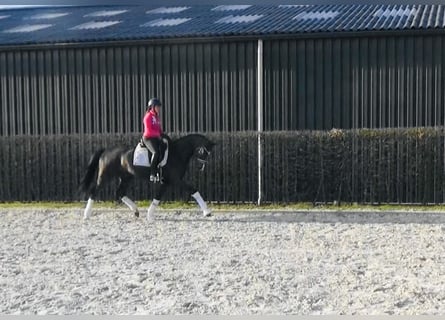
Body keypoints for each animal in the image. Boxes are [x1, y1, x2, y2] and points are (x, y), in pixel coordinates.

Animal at [78, 132, 217, 220]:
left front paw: (149, 215)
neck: (177, 153)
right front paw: (207, 212)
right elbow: (193, 190)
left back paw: (136, 211)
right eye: (205, 152)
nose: (201, 168)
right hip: (105, 176)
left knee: (120, 193)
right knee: (94, 191)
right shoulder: (176, 180)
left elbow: (157, 197)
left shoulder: (166, 182)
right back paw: (86, 215)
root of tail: (106, 151)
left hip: (126, 177)